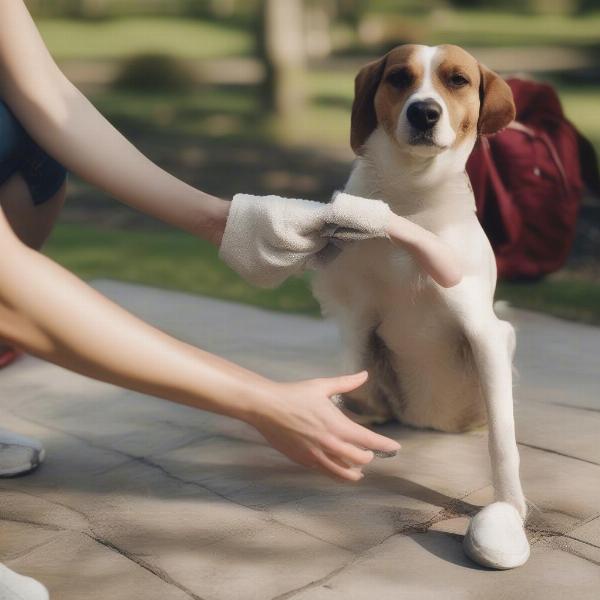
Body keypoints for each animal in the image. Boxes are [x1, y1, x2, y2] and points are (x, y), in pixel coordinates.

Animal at [314, 44, 528, 568]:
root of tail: (426, 420)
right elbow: (339, 386)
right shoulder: (356, 319)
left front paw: (510, 508)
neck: (411, 206)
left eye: (457, 80)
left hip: (504, 341)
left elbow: (503, 439)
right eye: (398, 78)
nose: (424, 111)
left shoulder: (485, 332)